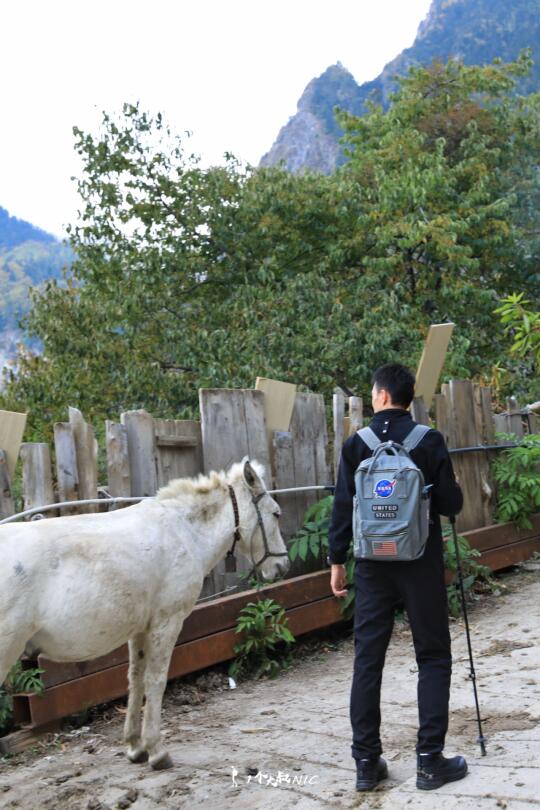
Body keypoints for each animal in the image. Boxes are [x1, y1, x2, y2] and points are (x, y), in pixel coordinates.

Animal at [0, 458, 288, 768]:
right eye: (276, 514)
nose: (283, 566)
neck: (183, 532)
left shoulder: (139, 629)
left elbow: (135, 679)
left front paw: (135, 746)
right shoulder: (167, 621)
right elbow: (156, 680)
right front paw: (156, 749)